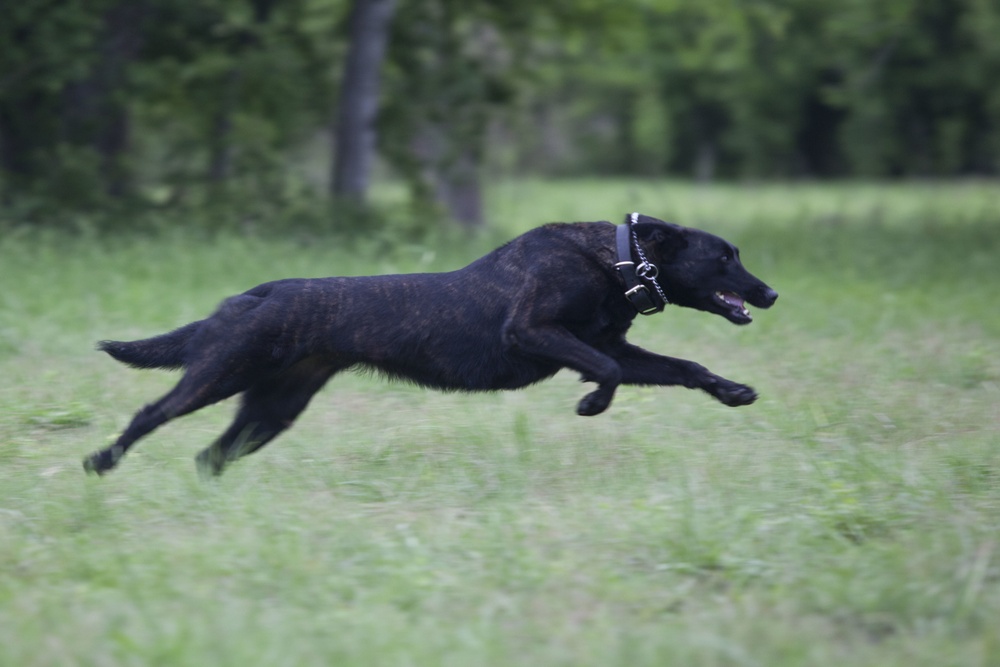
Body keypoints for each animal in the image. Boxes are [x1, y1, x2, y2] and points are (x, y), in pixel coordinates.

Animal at [82, 211, 776, 478]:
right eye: (724, 257)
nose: (770, 293)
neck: (616, 262)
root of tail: (253, 294)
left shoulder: (620, 351)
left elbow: (685, 365)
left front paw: (734, 391)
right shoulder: (535, 331)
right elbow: (603, 369)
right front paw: (592, 407)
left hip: (272, 407)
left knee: (210, 456)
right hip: (219, 373)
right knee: (150, 415)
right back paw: (100, 461)